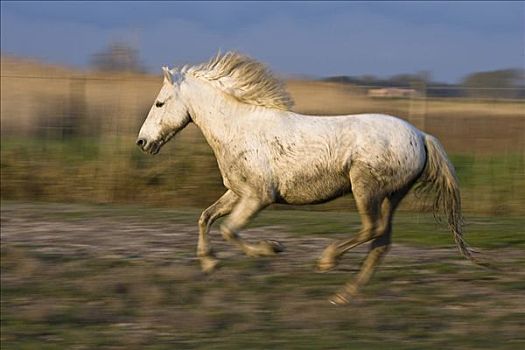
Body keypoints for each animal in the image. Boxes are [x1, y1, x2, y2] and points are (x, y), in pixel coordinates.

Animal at [136, 51, 478, 304]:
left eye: (159, 102)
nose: (142, 142)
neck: (240, 128)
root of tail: (420, 135)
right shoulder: (237, 193)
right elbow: (205, 218)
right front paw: (210, 263)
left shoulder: (259, 196)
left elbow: (229, 230)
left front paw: (271, 249)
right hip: (392, 196)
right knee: (381, 242)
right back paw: (344, 295)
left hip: (366, 188)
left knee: (373, 229)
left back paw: (327, 262)